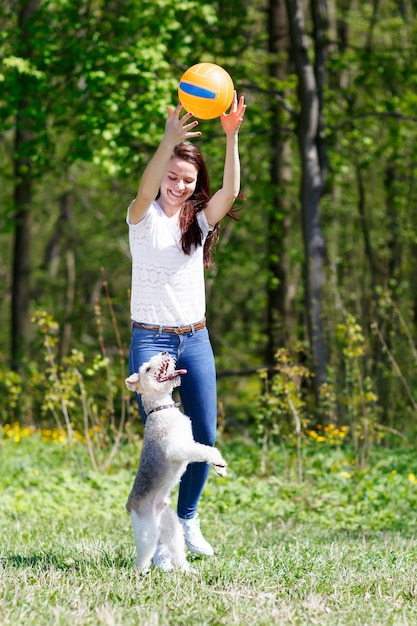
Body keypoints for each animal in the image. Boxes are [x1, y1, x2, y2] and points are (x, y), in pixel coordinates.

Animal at [125, 352, 228, 572]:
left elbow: (204, 449)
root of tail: (130, 506)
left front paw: (220, 468)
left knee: (177, 551)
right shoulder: (177, 447)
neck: (161, 408)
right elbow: (205, 450)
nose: (164, 352)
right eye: (147, 369)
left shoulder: (190, 441)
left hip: (171, 527)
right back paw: (141, 571)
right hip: (147, 530)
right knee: (144, 554)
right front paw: (218, 461)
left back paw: (187, 570)